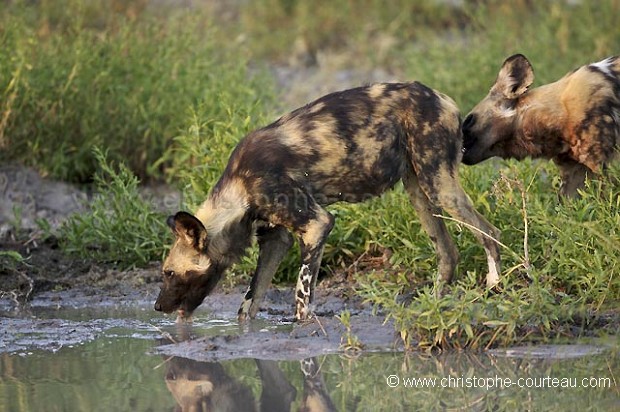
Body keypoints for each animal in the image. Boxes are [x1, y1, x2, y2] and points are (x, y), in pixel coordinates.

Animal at [155, 82, 504, 324]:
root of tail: (443, 99)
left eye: (169, 273)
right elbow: (249, 303)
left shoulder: (316, 224)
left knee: (490, 232)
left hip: (439, 186)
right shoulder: (275, 240)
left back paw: (495, 287)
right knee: (448, 253)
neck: (240, 190)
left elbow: (301, 294)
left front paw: (302, 327)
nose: (157, 306)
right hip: (420, 192)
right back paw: (431, 306)